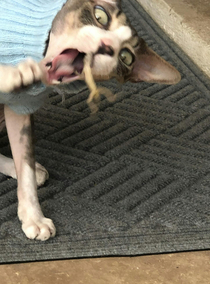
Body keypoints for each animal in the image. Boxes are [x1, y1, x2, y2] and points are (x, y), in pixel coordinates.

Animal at [0, 0, 180, 241]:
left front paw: (33, 217)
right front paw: (13, 73)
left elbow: (26, 166)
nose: (107, 46)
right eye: (100, 15)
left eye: (126, 57)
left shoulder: (21, 106)